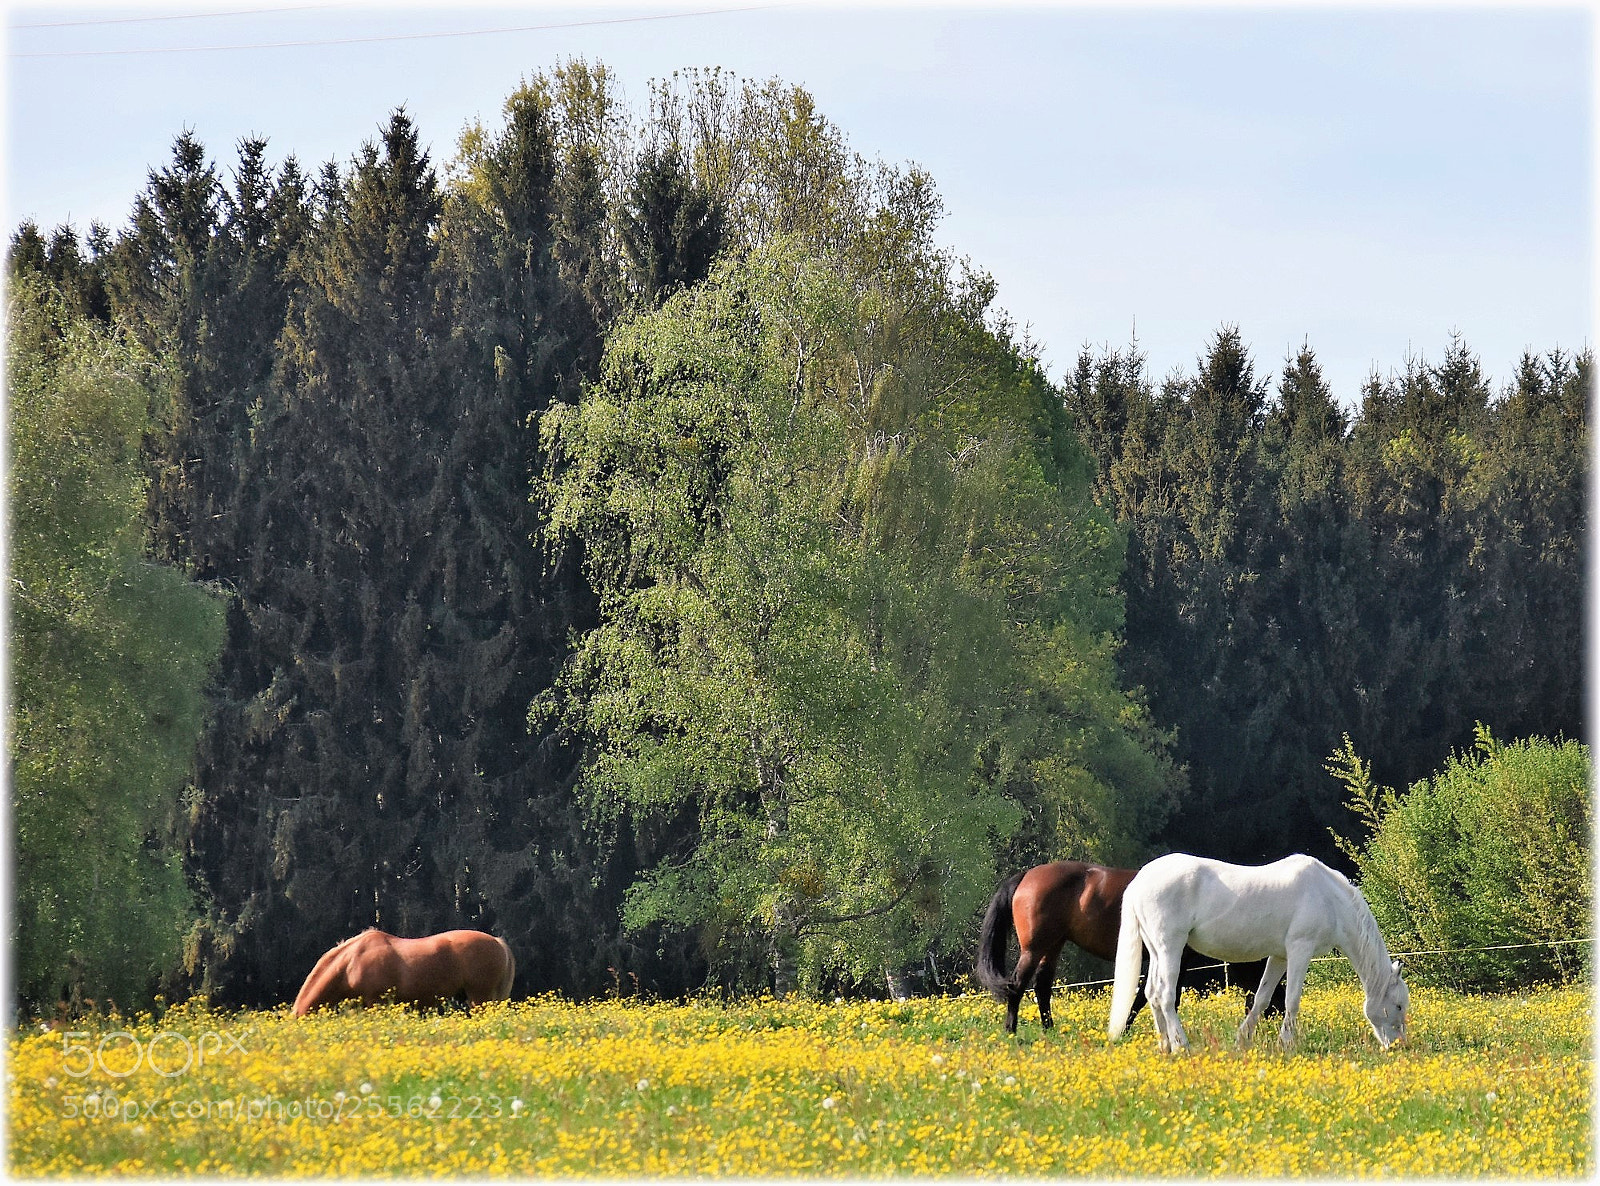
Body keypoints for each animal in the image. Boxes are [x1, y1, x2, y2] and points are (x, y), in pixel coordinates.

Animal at [975, 859, 1280, 1035]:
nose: (1273, 1019)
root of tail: (1028, 875)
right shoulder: (1176, 958)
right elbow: (1151, 998)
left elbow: (1147, 997)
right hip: (1035, 948)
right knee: (1018, 986)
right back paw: (1011, 1031)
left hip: (1052, 946)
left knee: (1042, 987)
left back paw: (1048, 1030)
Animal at [1107, 852, 1409, 1053]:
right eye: (1398, 1006)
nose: (1398, 1045)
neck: (1330, 898)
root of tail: (1140, 879)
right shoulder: (1300, 949)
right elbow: (1292, 1001)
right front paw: (1287, 1044)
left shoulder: (1280, 956)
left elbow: (1262, 999)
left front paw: (1242, 1040)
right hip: (1171, 947)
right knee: (1166, 996)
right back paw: (1183, 1046)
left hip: (1157, 951)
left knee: (1152, 995)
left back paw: (1165, 1046)